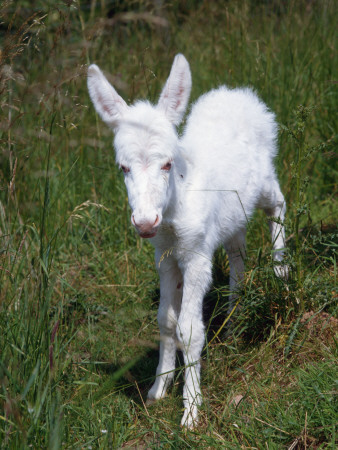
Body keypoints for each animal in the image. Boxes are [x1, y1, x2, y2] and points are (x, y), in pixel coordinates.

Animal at [86, 54, 286, 428]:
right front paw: (157, 390)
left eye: (167, 164)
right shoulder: (165, 257)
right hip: (232, 219)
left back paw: (282, 274)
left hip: (266, 182)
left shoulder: (195, 257)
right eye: (123, 168)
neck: (173, 212)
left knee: (278, 204)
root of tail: (237, 92)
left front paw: (191, 409)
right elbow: (165, 320)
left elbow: (189, 329)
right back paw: (234, 322)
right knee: (237, 256)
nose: (144, 222)